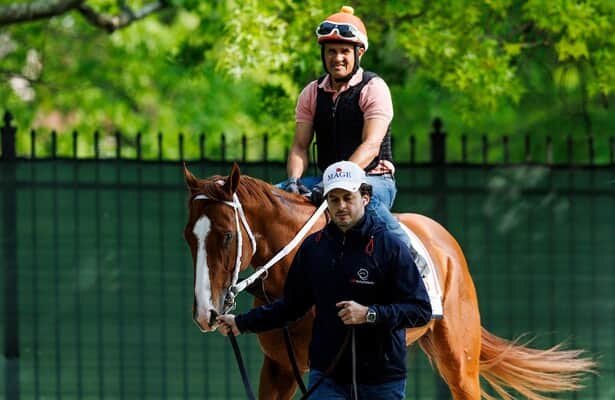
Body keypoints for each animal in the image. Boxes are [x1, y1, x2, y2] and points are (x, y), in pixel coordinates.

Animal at [183, 163, 596, 400]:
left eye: (226, 236)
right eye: (189, 236)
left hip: (459, 362)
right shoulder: (281, 369)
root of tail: (445, 241)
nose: (206, 313)